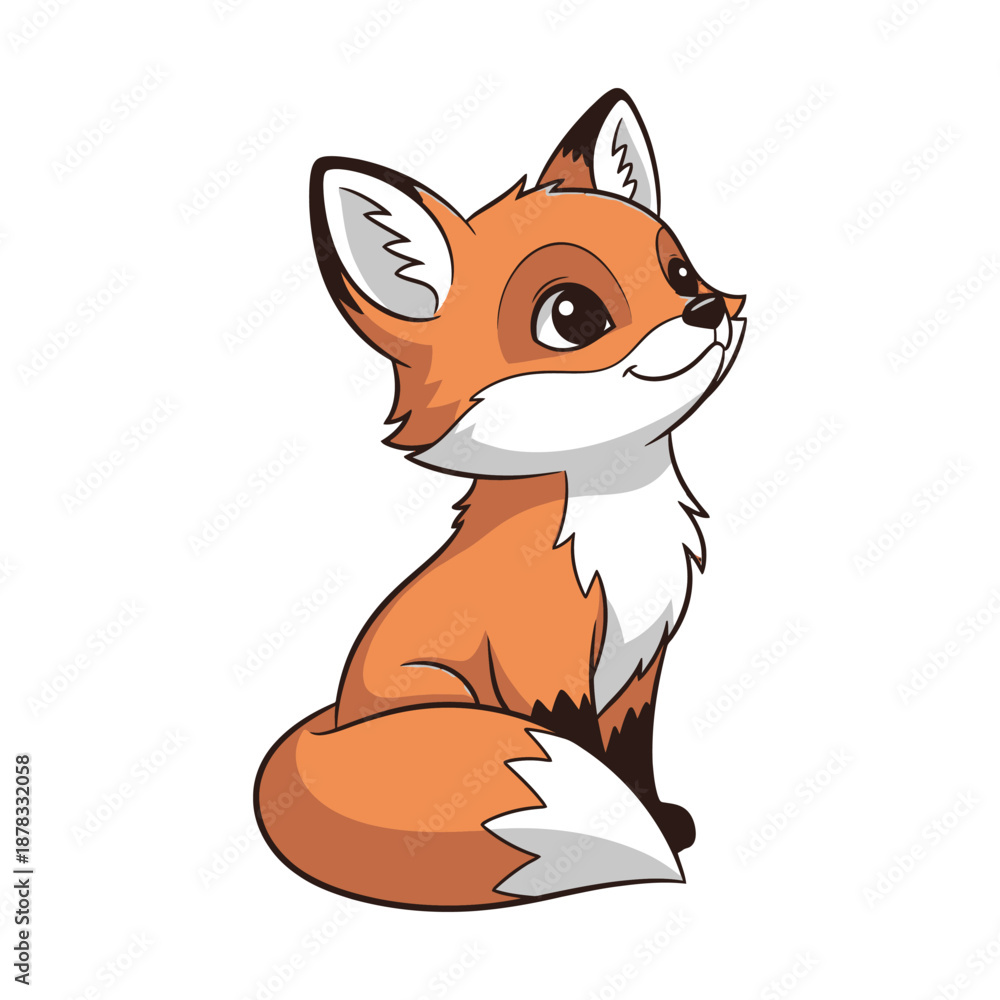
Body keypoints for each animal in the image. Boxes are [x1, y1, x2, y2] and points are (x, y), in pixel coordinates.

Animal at [254, 89, 746, 910]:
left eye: (679, 272)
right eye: (573, 315)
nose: (708, 310)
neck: (618, 527)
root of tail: (330, 725)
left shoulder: (639, 671)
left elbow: (632, 760)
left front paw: (662, 820)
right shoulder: (545, 673)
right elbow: (588, 754)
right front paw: (635, 830)